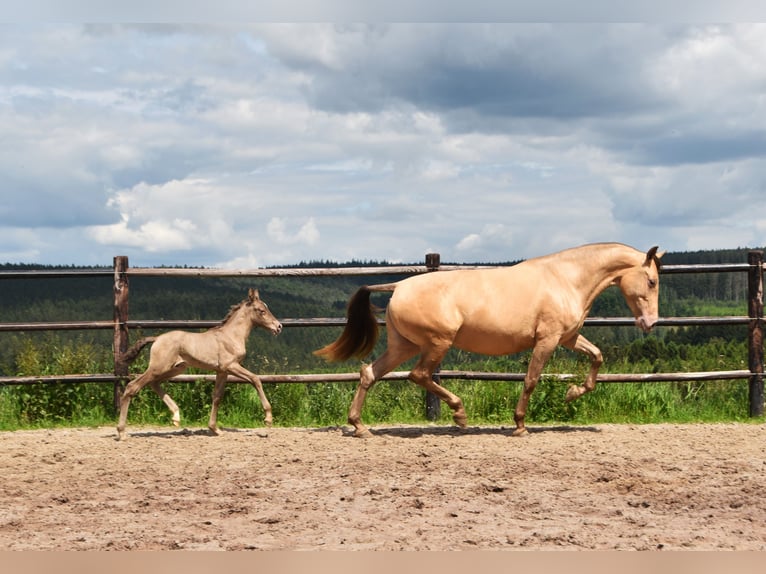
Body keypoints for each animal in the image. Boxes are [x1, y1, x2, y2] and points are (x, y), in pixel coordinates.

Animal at [114, 290, 282, 444]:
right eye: (262, 310)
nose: (279, 326)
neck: (231, 335)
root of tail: (157, 339)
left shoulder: (222, 371)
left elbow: (217, 397)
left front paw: (215, 429)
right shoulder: (231, 366)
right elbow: (255, 379)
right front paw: (268, 419)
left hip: (175, 368)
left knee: (154, 384)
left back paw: (176, 416)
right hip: (159, 367)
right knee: (132, 386)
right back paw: (122, 432)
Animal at [318, 244, 664, 440]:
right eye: (651, 281)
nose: (650, 323)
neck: (565, 279)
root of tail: (398, 286)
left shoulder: (567, 337)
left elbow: (597, 356)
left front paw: (572, 393)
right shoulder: (548, 339)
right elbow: (531, 379)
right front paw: (520, 425)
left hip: (404, 346)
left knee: (369, 373)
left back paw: (360, 427)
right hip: (437, 343)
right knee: (420, 375)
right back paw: (459, 414)